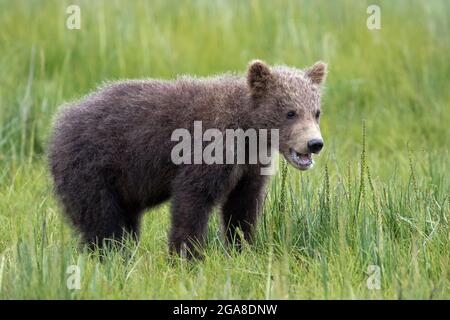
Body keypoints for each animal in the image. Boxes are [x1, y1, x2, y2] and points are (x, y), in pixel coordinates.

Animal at [47, 60, 326, 258]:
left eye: (316, 112)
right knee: (102, 221)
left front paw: (242, 248)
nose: (314, 144)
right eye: (290, 112)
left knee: (125, 223)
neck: (249, 132)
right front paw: (186, 255)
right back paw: (109, 255)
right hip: (93, 168)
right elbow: (192, 200)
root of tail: (60, 122)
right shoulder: (209, 147)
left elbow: (242, 207)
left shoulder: (250, 166)